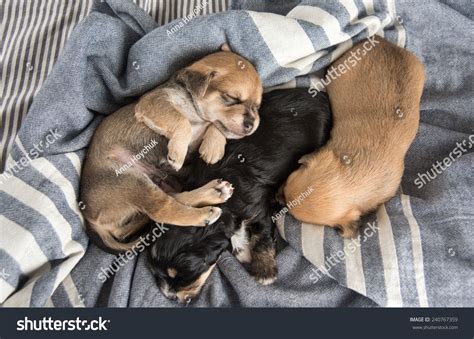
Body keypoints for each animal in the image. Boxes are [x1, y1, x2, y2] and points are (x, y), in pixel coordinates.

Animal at [79, 44, 262, 252]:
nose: (251, 124)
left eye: (257, 107)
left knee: (172, 200)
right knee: (163, 209)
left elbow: (215, 126)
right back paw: (206, 213)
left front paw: (213, 146)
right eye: (231, 98)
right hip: (129, 179)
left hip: (156, 183)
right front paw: (178, 153)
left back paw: (214, 191)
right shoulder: (155, 103)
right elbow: (183, 122)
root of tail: (90, 219)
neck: (195, 111)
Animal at [147, 89, 330, 304]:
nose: (171, 298)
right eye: (157, 274)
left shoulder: (257, 208)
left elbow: (261, 237)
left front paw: (264, 272)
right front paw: (241, 247)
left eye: (185, 275)